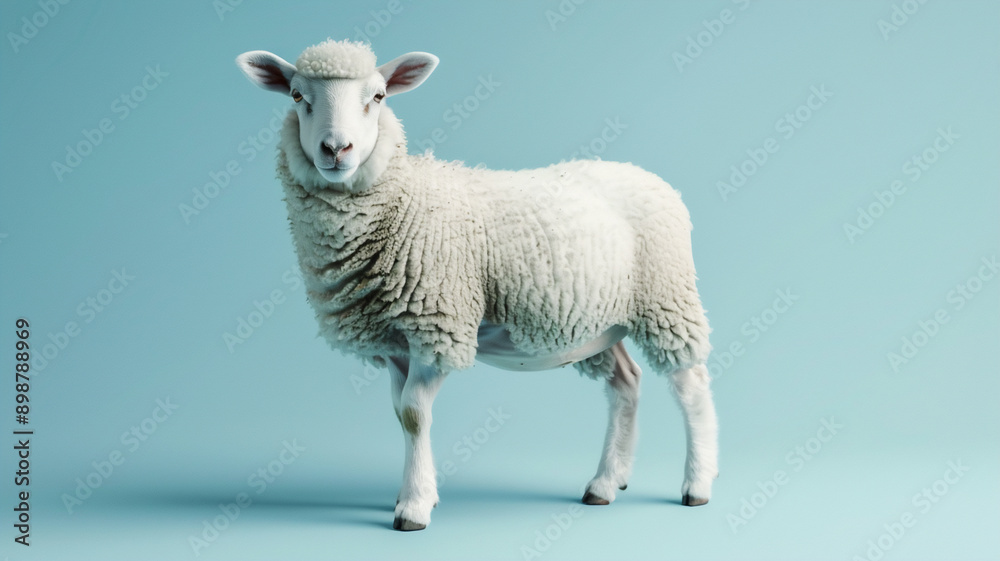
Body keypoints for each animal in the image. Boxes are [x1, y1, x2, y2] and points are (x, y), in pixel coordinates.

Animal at [236, 39, 719, 531]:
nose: (336, 148)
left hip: (667, 300)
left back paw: (696, 485)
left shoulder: (438, 326)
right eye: (297, 96)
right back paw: (605, 483)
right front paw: (414, 493)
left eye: (378, 97)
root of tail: (653, 179)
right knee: (626, 383)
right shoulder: (394, 341)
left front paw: (414, 506)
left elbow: (414, 414)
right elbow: (400, 414)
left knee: (691, 384)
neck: (400, 200)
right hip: (601, 323)